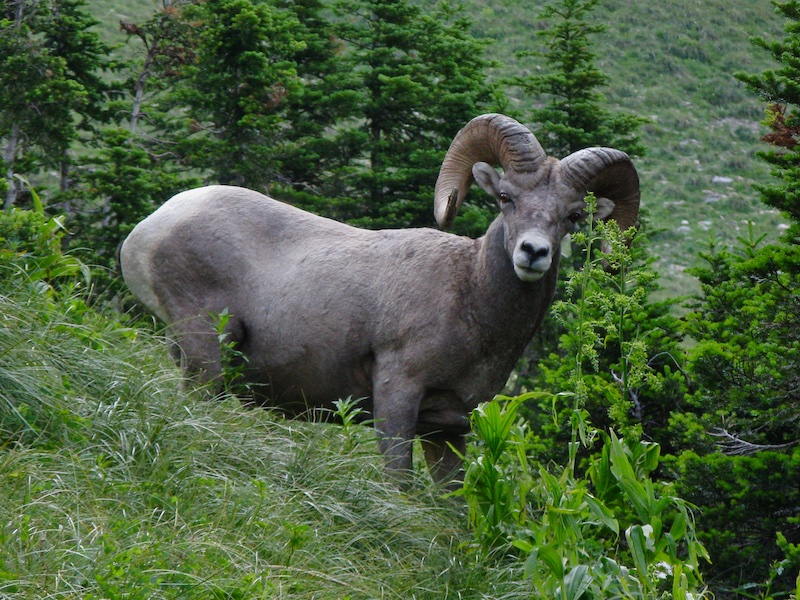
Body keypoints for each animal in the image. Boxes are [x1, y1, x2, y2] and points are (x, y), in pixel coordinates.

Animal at [119, 113, 640, 484]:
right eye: (506, 197)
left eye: (573, 216)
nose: (533, 253)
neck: (471, 299)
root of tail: (149, 229)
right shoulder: (397, 395)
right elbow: (399, 485)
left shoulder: (449, 427)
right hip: (207, 351)